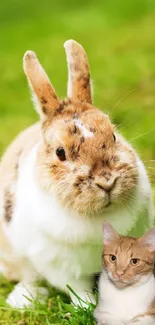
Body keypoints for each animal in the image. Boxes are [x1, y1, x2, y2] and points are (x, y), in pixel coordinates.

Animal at [0, 38, 153, 306]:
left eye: (114, 136)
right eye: (60, 152)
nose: (107, 181)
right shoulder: (61, 267)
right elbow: (78, 289)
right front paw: (89, 305)